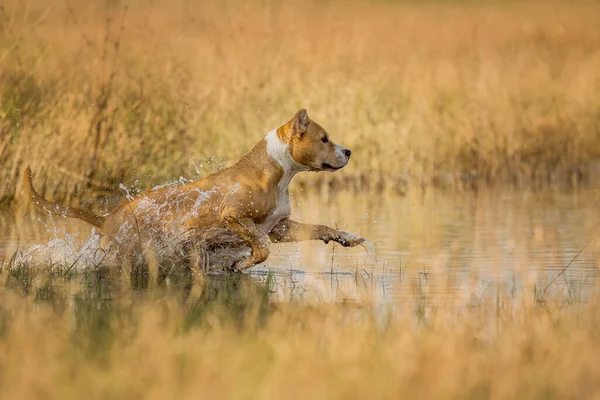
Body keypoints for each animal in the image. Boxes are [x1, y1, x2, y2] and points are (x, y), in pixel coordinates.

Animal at [23, 109, 366, 270]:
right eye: (324, 139)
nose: (348, 151)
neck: (276, 171)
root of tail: (107, 218)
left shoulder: (281, 227)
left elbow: (318, 228)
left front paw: (347, 237)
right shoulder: (233, 216)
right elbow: (261, 247)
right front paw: (240, 263)